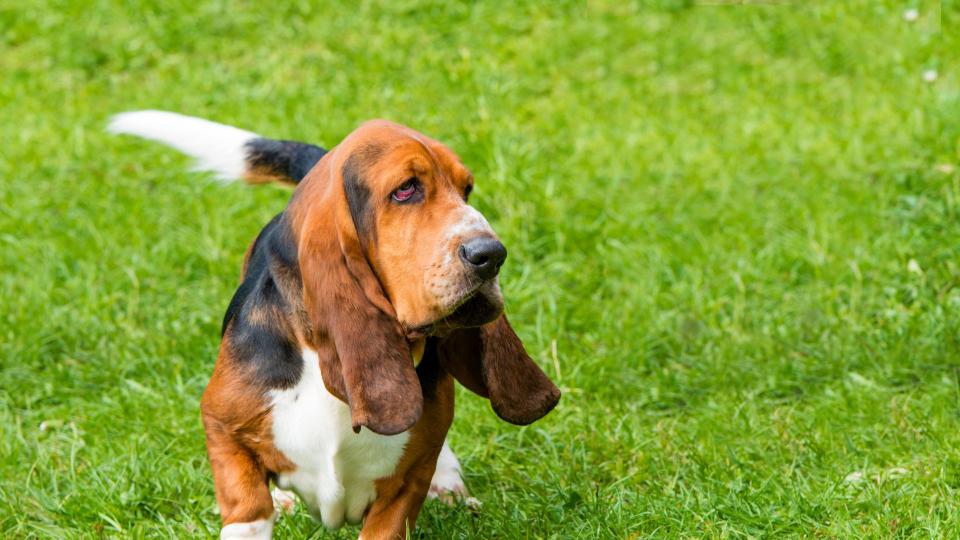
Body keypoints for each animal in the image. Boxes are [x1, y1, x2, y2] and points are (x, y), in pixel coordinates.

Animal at [110, 112, 564, 536]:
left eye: (466, 189)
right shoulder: (221, 427)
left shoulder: (403, 489)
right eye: (405, 189)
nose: (492, 254)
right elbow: (249, 507)